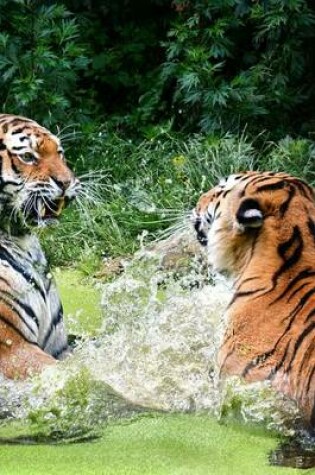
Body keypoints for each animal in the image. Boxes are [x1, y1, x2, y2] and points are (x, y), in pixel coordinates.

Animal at [0, 113, 80, 382]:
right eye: (27, 156)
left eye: (60, 153)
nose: (67, 182)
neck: (22, 241)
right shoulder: (14, 350)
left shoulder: (60, 346)